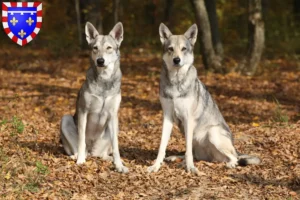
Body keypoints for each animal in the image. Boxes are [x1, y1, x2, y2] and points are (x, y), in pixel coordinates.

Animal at [59, 21, 127, 173]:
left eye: (109, 48)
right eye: (95, 48)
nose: (100, 61)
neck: (104, 80)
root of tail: (92, 151)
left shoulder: (113, 114)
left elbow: (116, 146)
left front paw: (119, 165)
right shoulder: (84, 111)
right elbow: (81, 140)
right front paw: (80, 161)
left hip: (115, 127)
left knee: (102, 154)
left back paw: (109, 159)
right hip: (65, 118)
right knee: (80, 149)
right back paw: (78, 156)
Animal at [148, 23, 260, 173]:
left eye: (183, 49)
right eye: (170, 49)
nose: (177, 60)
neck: (176, 82)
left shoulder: (188, 118)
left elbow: (188, 152)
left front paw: (190, 168)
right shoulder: (167, 117)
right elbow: (162, 147)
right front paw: (156, 166)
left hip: (212, 133)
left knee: (234, 158)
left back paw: (230, 164)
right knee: (193, 153)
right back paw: (175, 159)